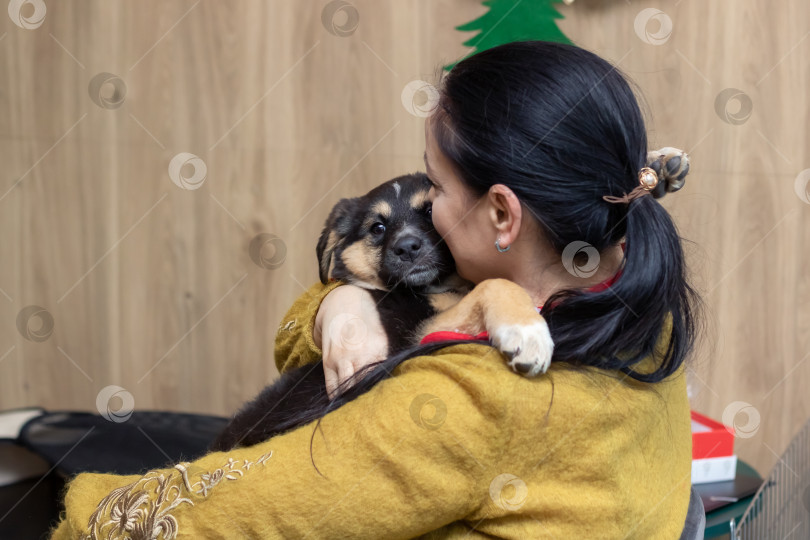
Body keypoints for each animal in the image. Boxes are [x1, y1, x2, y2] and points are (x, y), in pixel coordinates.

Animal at [207, 173, 548, 452]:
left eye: (430, 211)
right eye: (378, 228)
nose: (407, 248)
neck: (429, 288)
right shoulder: (415, 335)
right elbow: (494, 283)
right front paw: (529, 333)